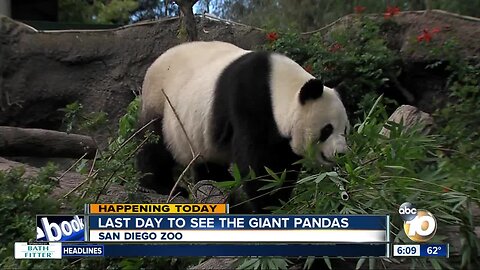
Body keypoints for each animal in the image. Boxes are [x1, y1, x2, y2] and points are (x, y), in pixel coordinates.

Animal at [135, 41, 348, 213]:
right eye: (327, 130)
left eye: (344, 130)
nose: (341, 153)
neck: (279, 87)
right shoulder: (249, 103)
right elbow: (258, 163)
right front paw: (267, 205)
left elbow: (283, 166)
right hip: (162, 104)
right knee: (154, 144)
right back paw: (161, 186)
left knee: (207, 163)